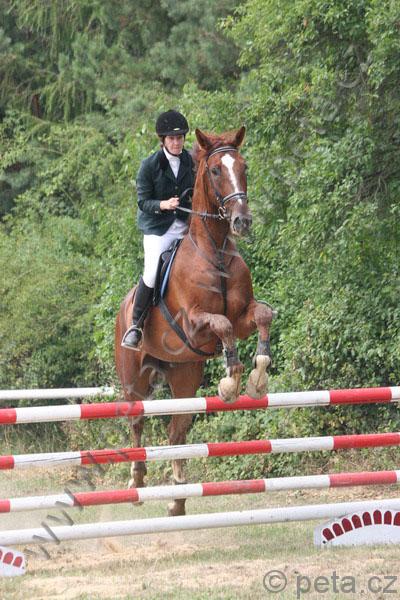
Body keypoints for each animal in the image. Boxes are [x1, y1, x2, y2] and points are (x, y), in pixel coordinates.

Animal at [115, 126, 274, 516]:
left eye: (244, 166)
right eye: (215, 170)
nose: (242, 222)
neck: (214, 250)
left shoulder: (244, 316)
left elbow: (262, 315)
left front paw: (257, 378)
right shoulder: (193, 325)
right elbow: (223, 327)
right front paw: (230, 382)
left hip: (184, 376)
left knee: (177, 432)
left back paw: (178, 499)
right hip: (133, 379)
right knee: (136, 420)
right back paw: (136, 481)